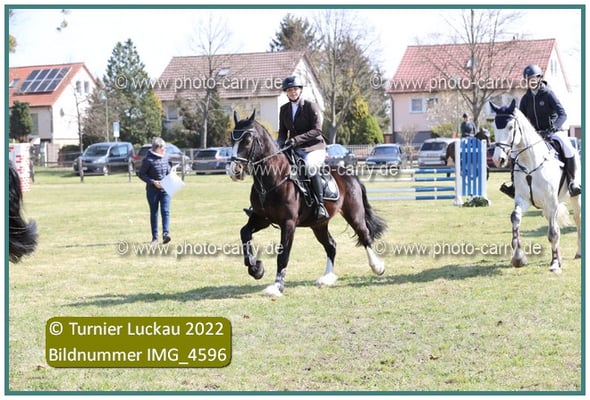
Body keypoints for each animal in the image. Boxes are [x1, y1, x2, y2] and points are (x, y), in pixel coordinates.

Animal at [227, 110, 387, 296]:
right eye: (232, 140)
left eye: (247, 140)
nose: (234, 171)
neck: (273, 178)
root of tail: (351, 175)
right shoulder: (262, 218)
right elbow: (244, 233)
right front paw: (255, 268)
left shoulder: (288, 223)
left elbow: (283, 254)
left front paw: (277, 286)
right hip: (318, 225)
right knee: (331, 246)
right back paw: (326, 278)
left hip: (353, 214)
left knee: (364, 236)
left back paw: (377, 267)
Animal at [490, 99, 581, 273]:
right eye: (494, 127)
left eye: (510, 127)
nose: (499, 159)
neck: (530, 161)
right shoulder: (523, 199)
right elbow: (515, 218)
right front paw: (518, 257)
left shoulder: (551, 202)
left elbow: (553, 233)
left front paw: (554, 264)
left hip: (574, 198)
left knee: (577, 219)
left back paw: (578, 253)